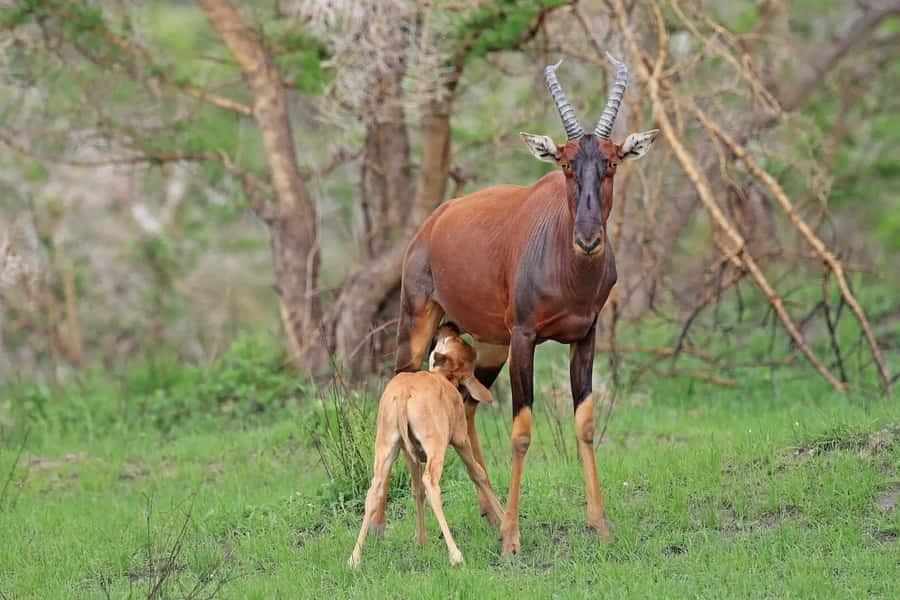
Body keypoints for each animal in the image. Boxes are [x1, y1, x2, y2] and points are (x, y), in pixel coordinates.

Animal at [349, 323, 503, 568]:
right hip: (436, 447)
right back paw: (455, 554)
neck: (443, 379)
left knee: (375, 489)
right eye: (458, 341)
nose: (449, 325)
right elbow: (478, 473)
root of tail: (404, 393)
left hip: (386, 447)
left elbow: (416, 491)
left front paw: (420, 540)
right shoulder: (460, 439)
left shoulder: (408, 455)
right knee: (431, 482)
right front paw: (504, 521)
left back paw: (355, 558)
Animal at [393, 54, 658, 555]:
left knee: (467, 407)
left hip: (487, 344)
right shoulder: (525, 337)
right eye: (566, 164)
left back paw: (489, 511)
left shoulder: (585, 337)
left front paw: (600, 525)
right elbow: (520, 433)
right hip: (421, 325)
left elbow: (585, 423)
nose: (588, 239)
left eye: (612, 162)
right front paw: (512, 540)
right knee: (402, 392)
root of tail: (433, 222)